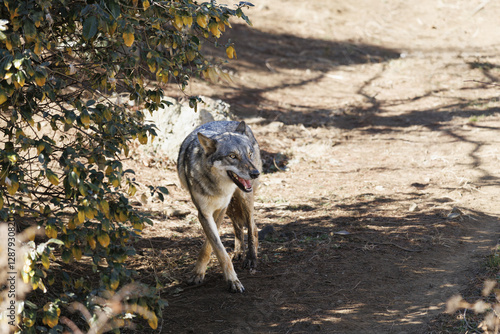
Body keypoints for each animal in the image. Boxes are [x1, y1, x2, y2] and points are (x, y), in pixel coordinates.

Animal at [177, 120, 262, 292]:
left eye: (249, 154)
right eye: (232, 156)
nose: (255, 173)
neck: (217, 186)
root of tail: (236, 122)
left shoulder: (220, 210)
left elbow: (210, 246)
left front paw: (232, 280)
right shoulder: (204, 213)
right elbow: (217, 248)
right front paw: (198, 274)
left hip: (243, 198)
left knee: (252, 227)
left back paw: (251, 259)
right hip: (231, 207)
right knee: (239, 226)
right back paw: (238, 252)